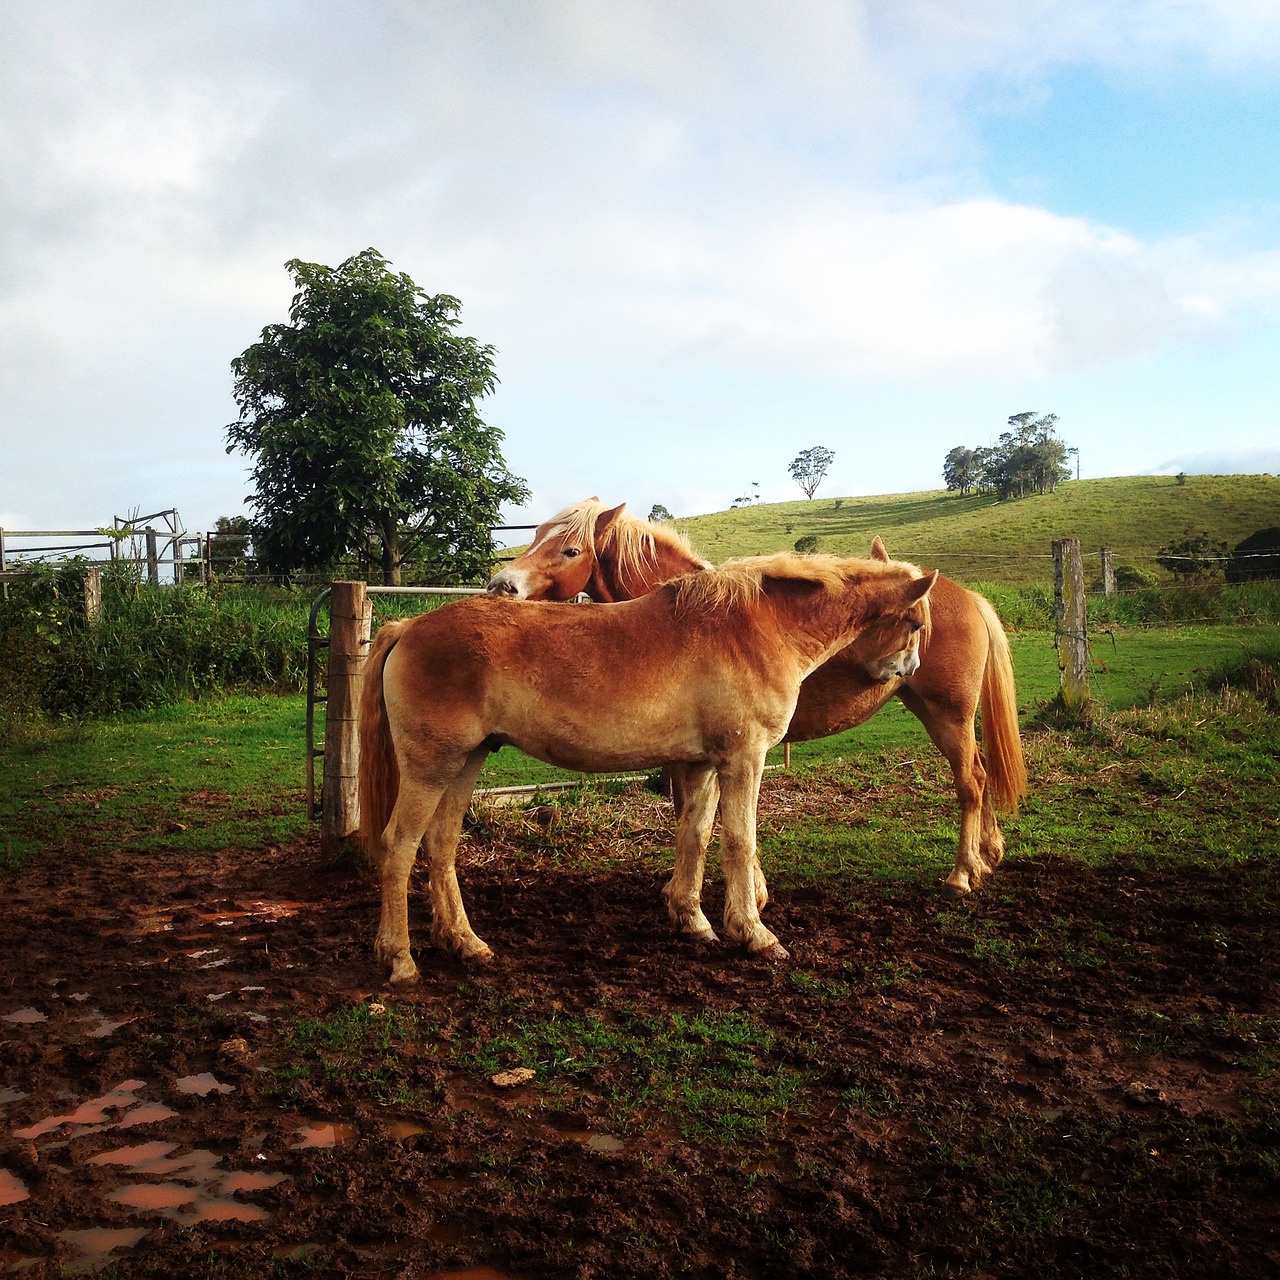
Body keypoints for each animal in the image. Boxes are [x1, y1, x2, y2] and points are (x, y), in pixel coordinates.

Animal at [355, 550, 936, 977]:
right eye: (914, 621)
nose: (909, 669)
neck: (757, 626)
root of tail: (408, 626)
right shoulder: (743, 759)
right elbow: (739, 842)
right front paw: (753, 933)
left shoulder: (701, 764)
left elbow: (694, 835)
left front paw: (693, 921)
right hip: (431, 766)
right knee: (399, 847)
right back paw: (400, 959)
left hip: (465, 762)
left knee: (441, 845)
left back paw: (466, 943)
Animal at [483, 491, 1024, 911]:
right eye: (535, 535)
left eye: (570, 548)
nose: (502, 586)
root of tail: (970, 597)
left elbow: (703, 817)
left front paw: (734, 895)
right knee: (980, 775)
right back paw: (987, 857)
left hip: (948, 714)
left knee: (971, 782)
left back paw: (961, 874)